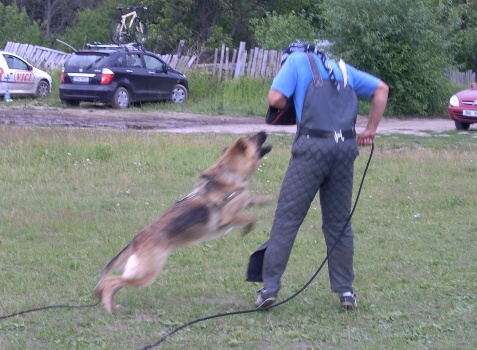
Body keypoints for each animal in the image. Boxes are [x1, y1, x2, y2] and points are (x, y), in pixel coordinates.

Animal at [94, 131, 272, 312]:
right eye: (254, 138)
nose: (264, 131)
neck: (230, 172)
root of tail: (136, 241)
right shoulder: (228, 218)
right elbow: (251, 217)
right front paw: (248, 227)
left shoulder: (244, 199)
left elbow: (253, 198)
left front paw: (267, 200)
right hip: (146, 273)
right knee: (110, 281)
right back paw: (107, 306)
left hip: (138, 273)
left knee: (115, 283)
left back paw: (113, 305)